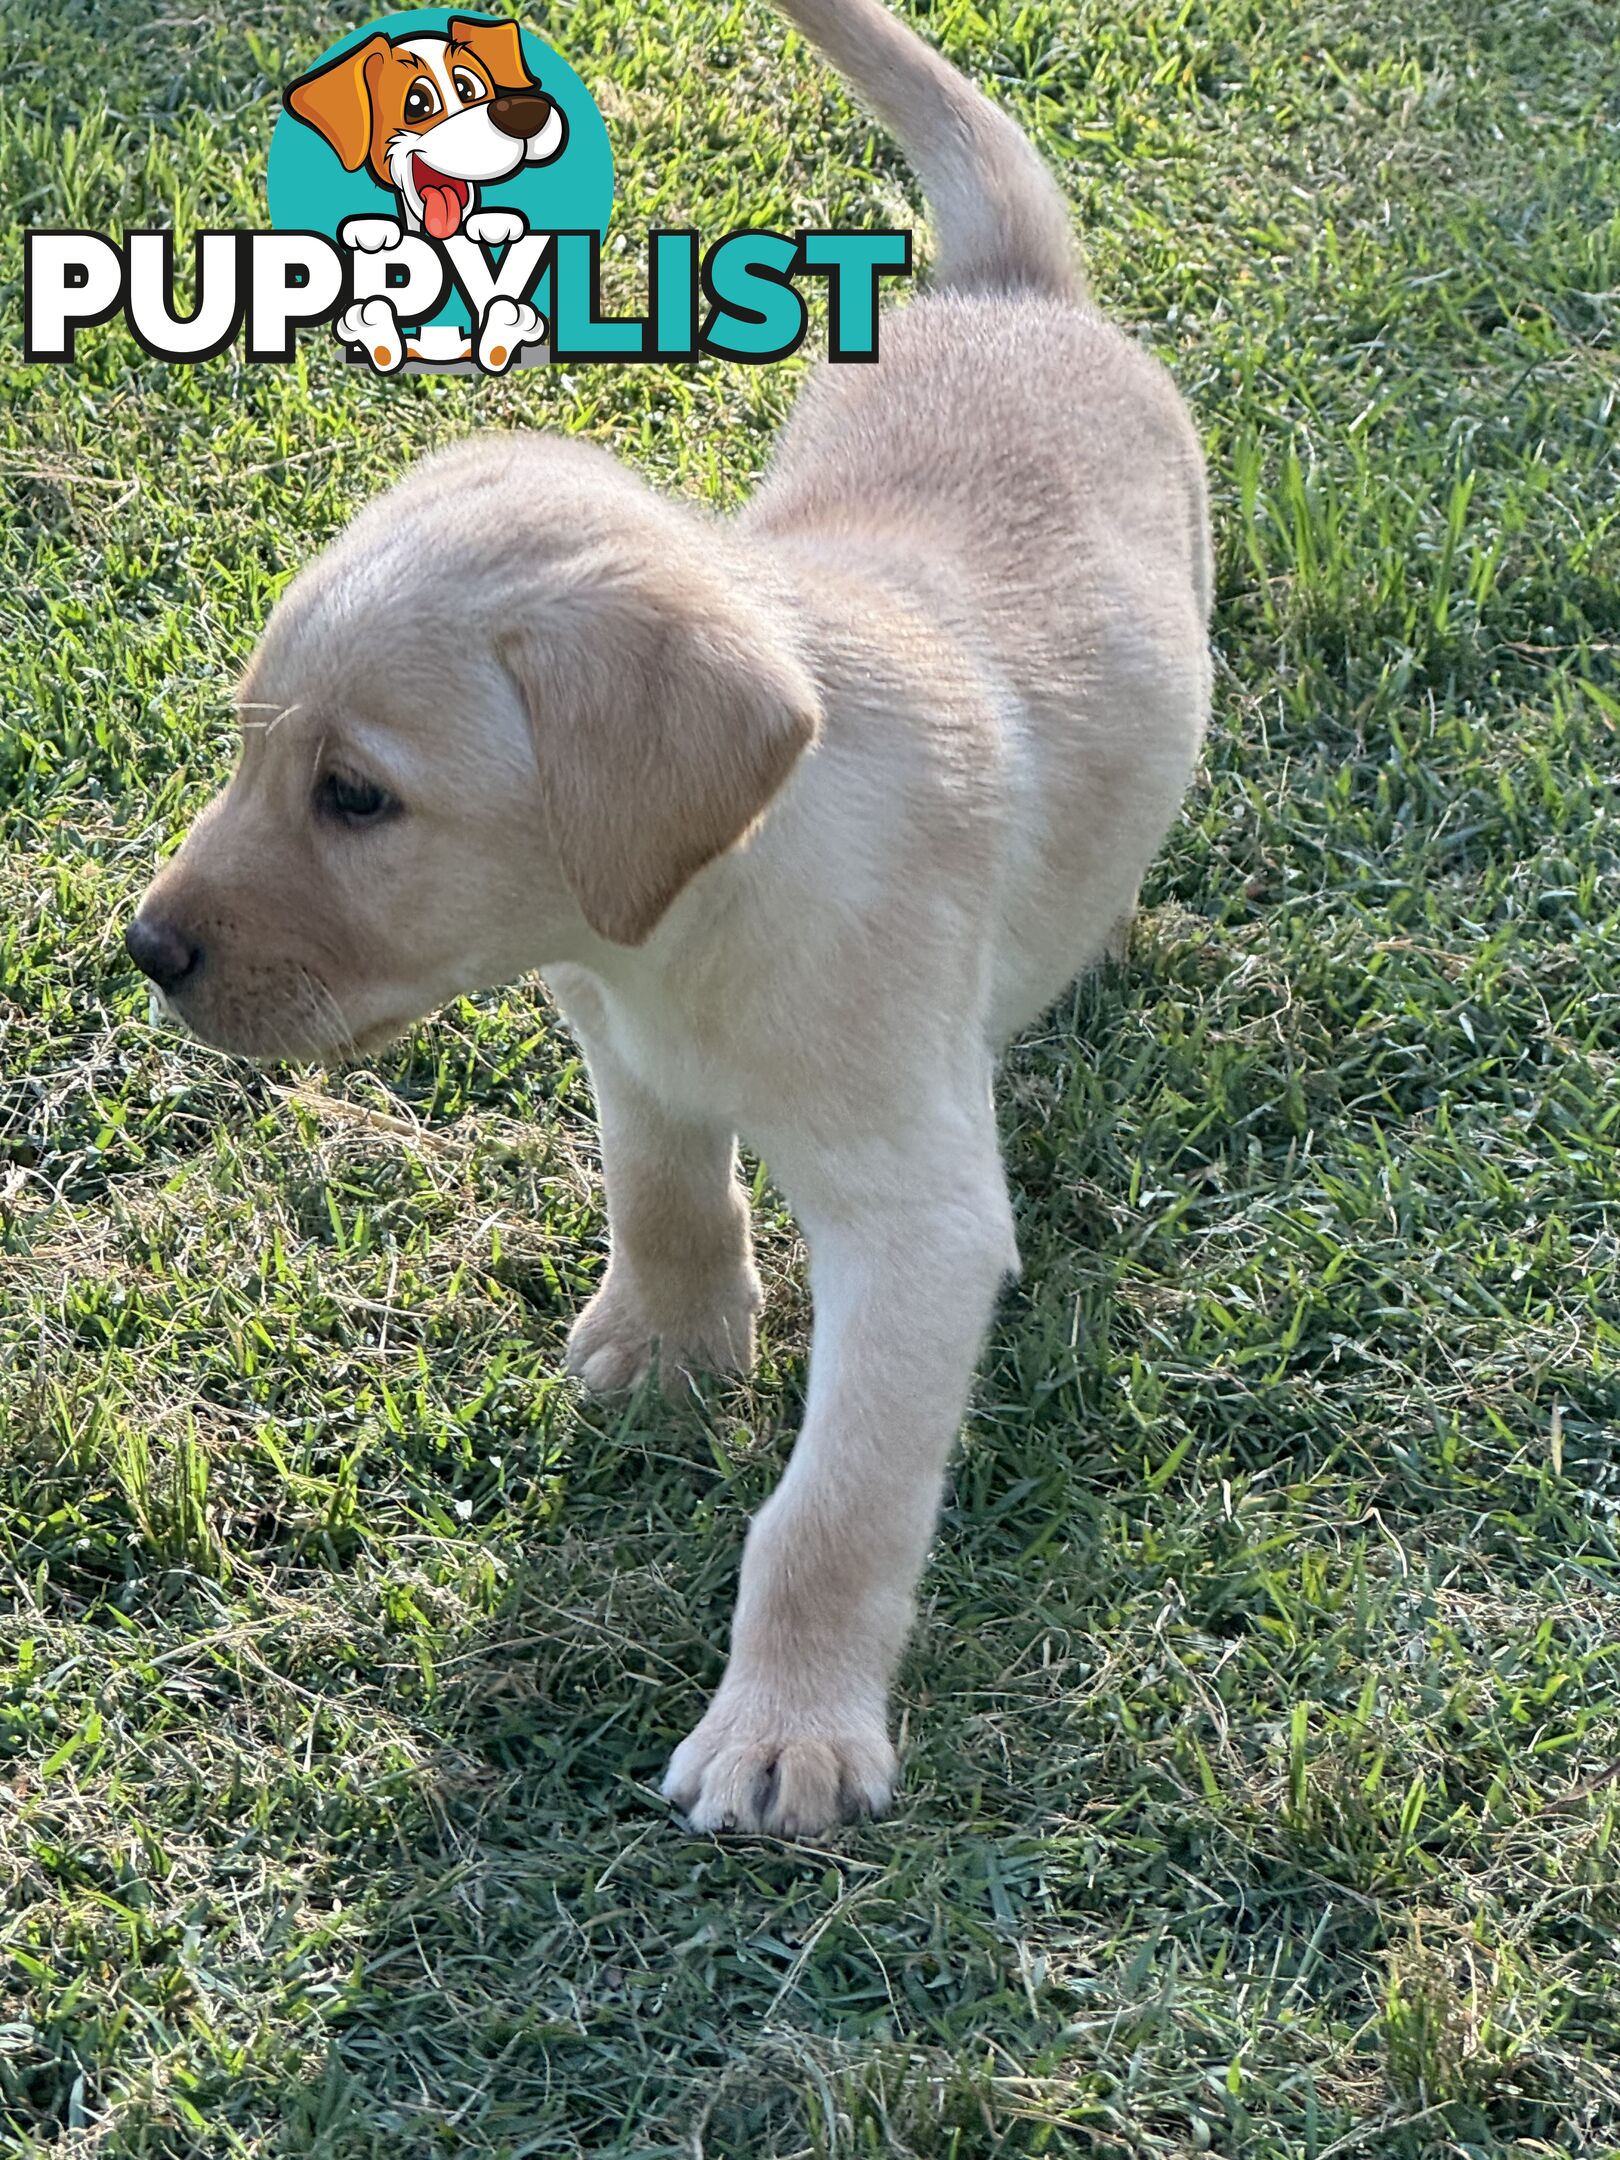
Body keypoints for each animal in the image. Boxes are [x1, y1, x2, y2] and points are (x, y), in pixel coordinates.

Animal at [126, 0, 1209, 1831]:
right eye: (252, 754)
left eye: (355, 797)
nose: (146, 955)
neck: (685, 927)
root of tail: (1008, 290)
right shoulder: (618, 1045)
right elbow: (663, 1194)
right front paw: (670, 1340)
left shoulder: (916, 1221)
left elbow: (830, 1506)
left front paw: (789, 1724)